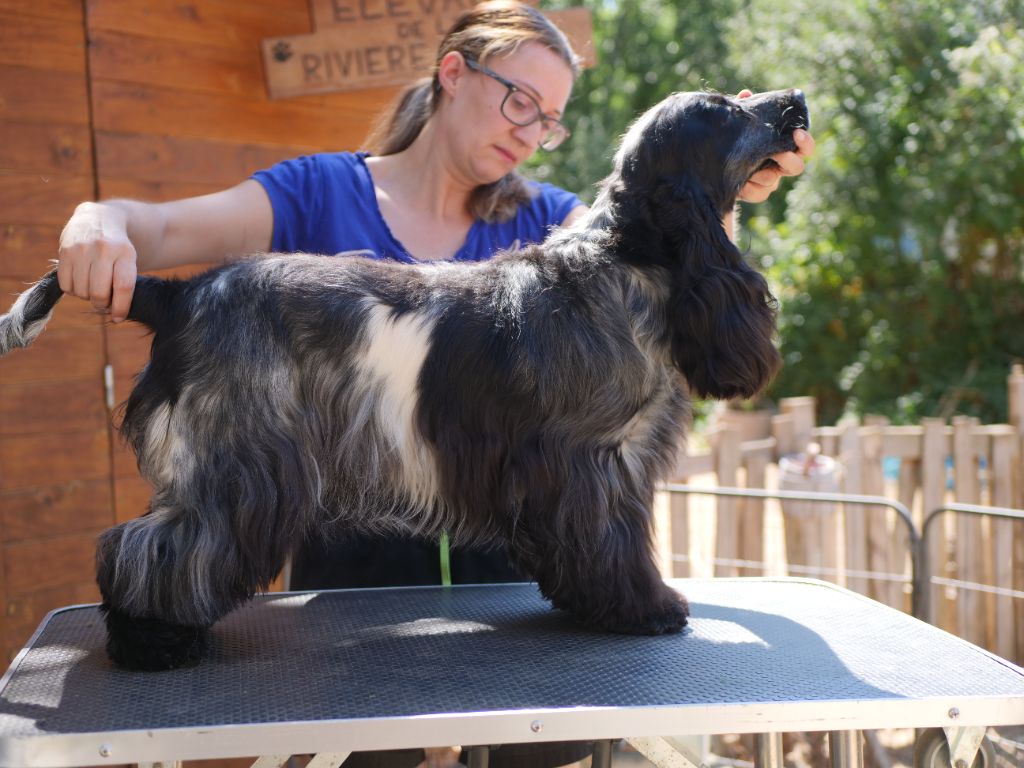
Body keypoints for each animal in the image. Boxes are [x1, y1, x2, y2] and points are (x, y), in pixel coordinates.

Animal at [2, 88, 806, 667]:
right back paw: (154, 641)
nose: (795, 100)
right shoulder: (594, 462)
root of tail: (179, 294)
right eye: (724, 111)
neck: (630, 254)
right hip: (233, 466)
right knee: (150, 548)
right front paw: (645, 608)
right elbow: (613, 542)